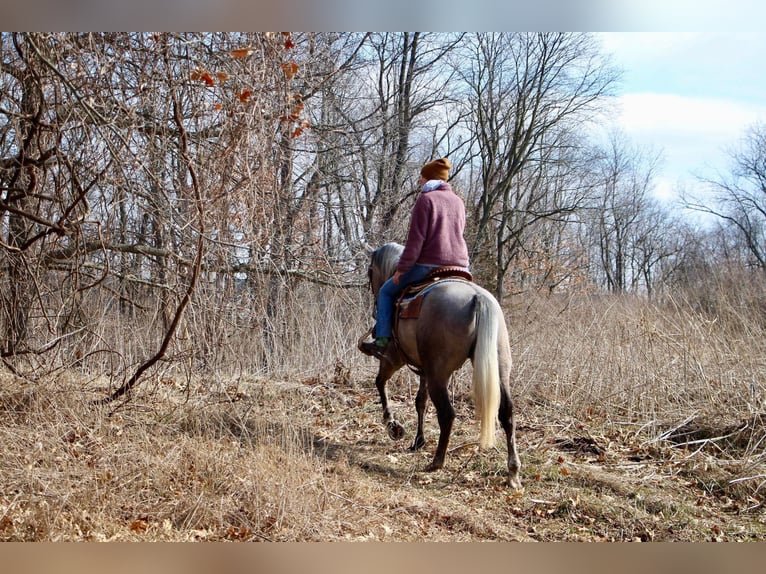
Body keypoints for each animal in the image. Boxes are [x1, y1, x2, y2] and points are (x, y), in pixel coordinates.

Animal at [360, 243, 520, 490]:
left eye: (370, 272)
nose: (374, 307)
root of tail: (477, 297)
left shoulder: (392, 359)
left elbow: (380, 383)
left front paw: (392, 425)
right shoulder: (423, 370)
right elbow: (420, 402)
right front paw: (418, 441)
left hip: (438, 375)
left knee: (447, 414)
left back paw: (436, 462)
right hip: (500, 370)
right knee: (507, 414)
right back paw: (512, 472)